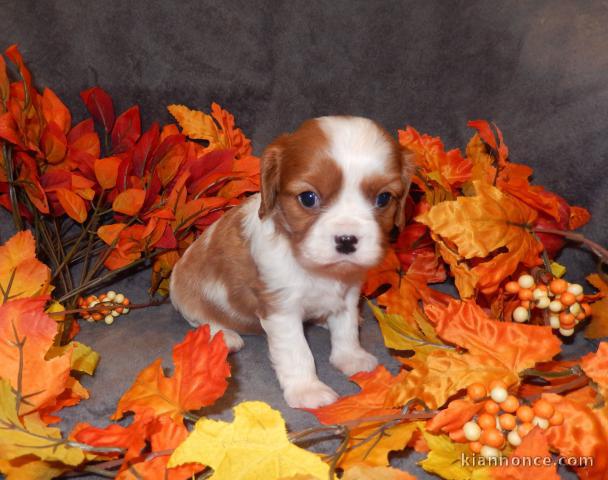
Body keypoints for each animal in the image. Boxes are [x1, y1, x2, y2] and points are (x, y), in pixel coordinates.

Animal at [171, 115, 414, 404]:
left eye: (383, 198)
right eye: (308, 198)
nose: (346, 240)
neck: (318, 270)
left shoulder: (349, 293)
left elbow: (345, 328)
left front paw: (351, 357)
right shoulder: (281, 309)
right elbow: (297, 352)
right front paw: (307, 390)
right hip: (189, 296)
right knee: (199, 320)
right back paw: (224, 337)